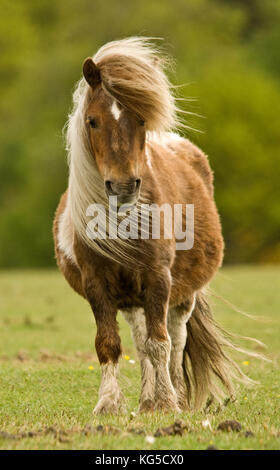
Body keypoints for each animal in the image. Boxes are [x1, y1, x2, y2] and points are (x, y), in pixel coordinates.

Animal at [53, 38, 250, 414]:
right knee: (140, 340)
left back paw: (172, 396)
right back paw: (146, 401)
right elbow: (109, 343)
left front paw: (168, 404)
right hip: (131, 299)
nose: (123, 186)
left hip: (182, 295)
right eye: (93, 121)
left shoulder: (159, 278)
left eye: (141, 119)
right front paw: (108, 404)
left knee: (175, 340)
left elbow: (161, 343)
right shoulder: (96, 282)